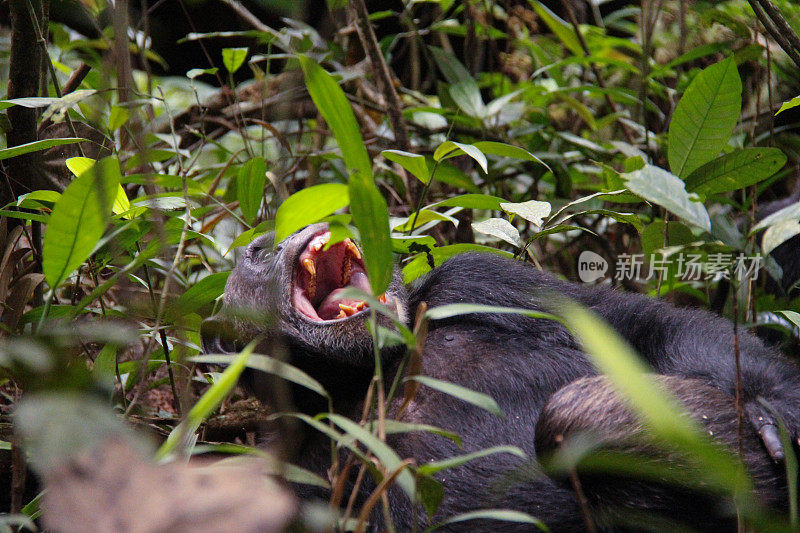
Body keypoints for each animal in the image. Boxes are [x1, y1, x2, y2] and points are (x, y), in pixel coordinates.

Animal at [202, 222, 800, 528]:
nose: (293, 229)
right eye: (257, 253)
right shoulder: (287, 473)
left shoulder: (480, 279)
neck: (374, 372)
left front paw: (768, 410)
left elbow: (632, 327)